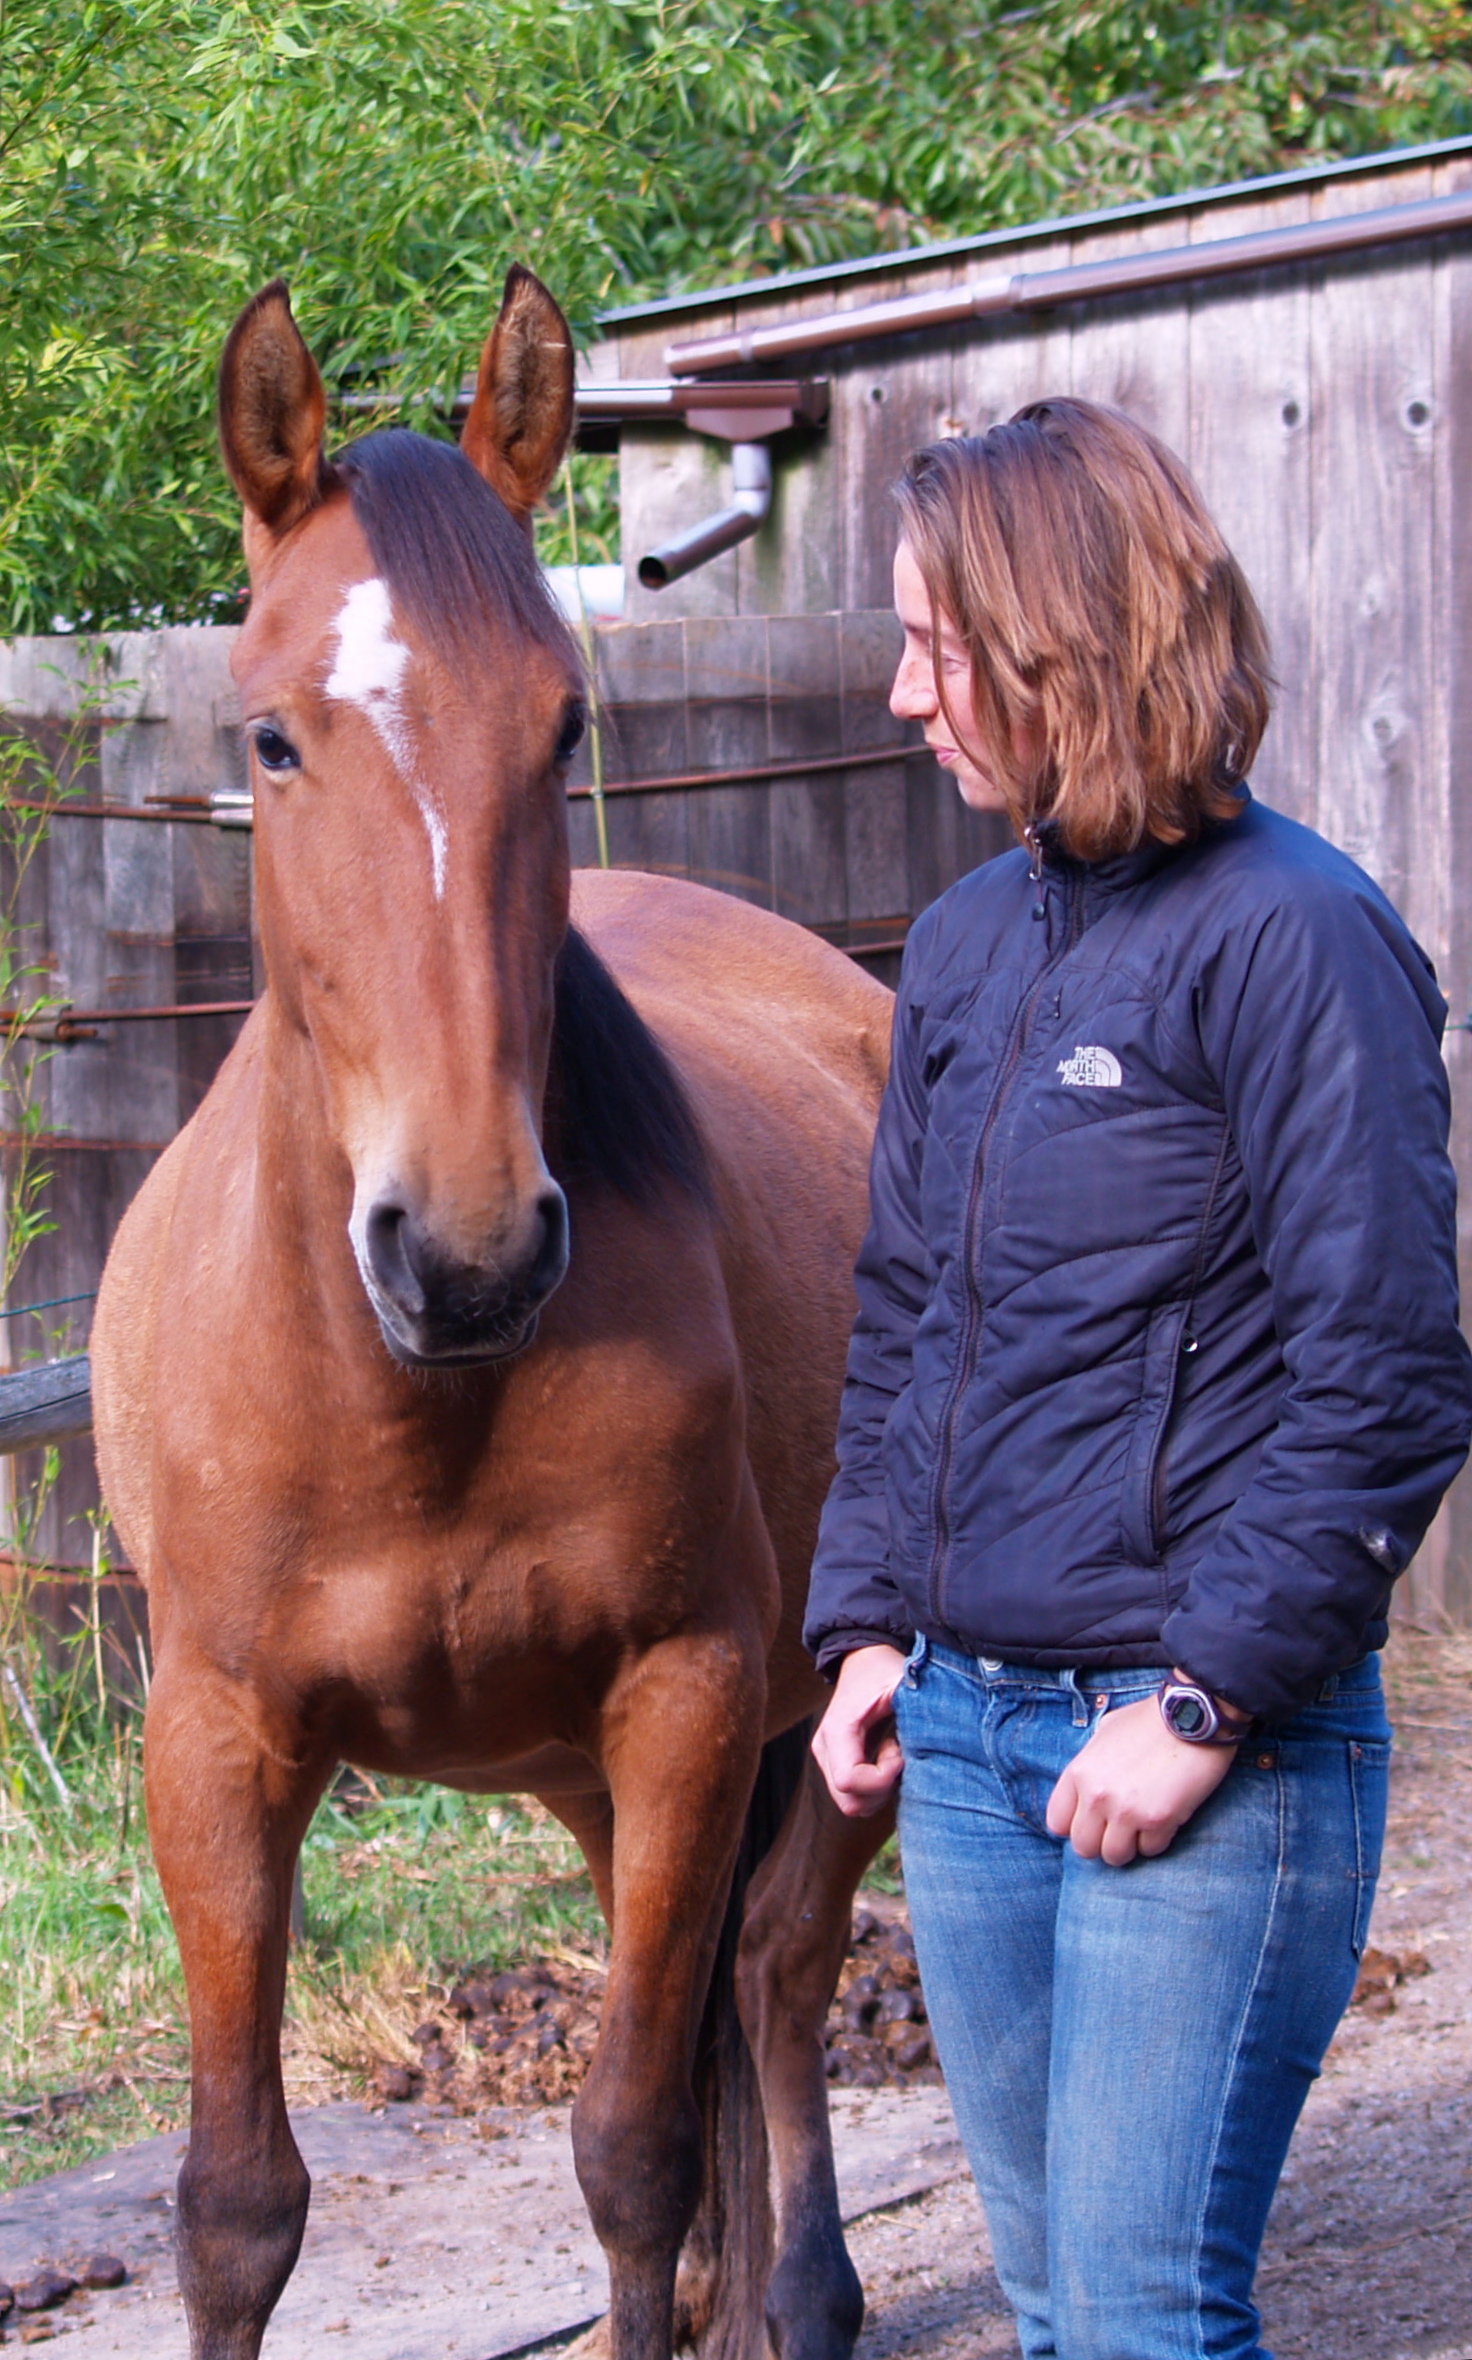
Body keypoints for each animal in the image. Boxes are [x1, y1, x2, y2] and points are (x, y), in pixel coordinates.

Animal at [89, 265, 896, 2360]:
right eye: (273, 741)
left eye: (560, 727)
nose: (463, 1253)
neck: (399, 1400)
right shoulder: (216, 1746)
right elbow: (234, 2208)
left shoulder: (686, 1695)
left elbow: (629, 2144)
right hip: (585, 1779)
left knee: (771, 1974)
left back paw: (804, 2296)